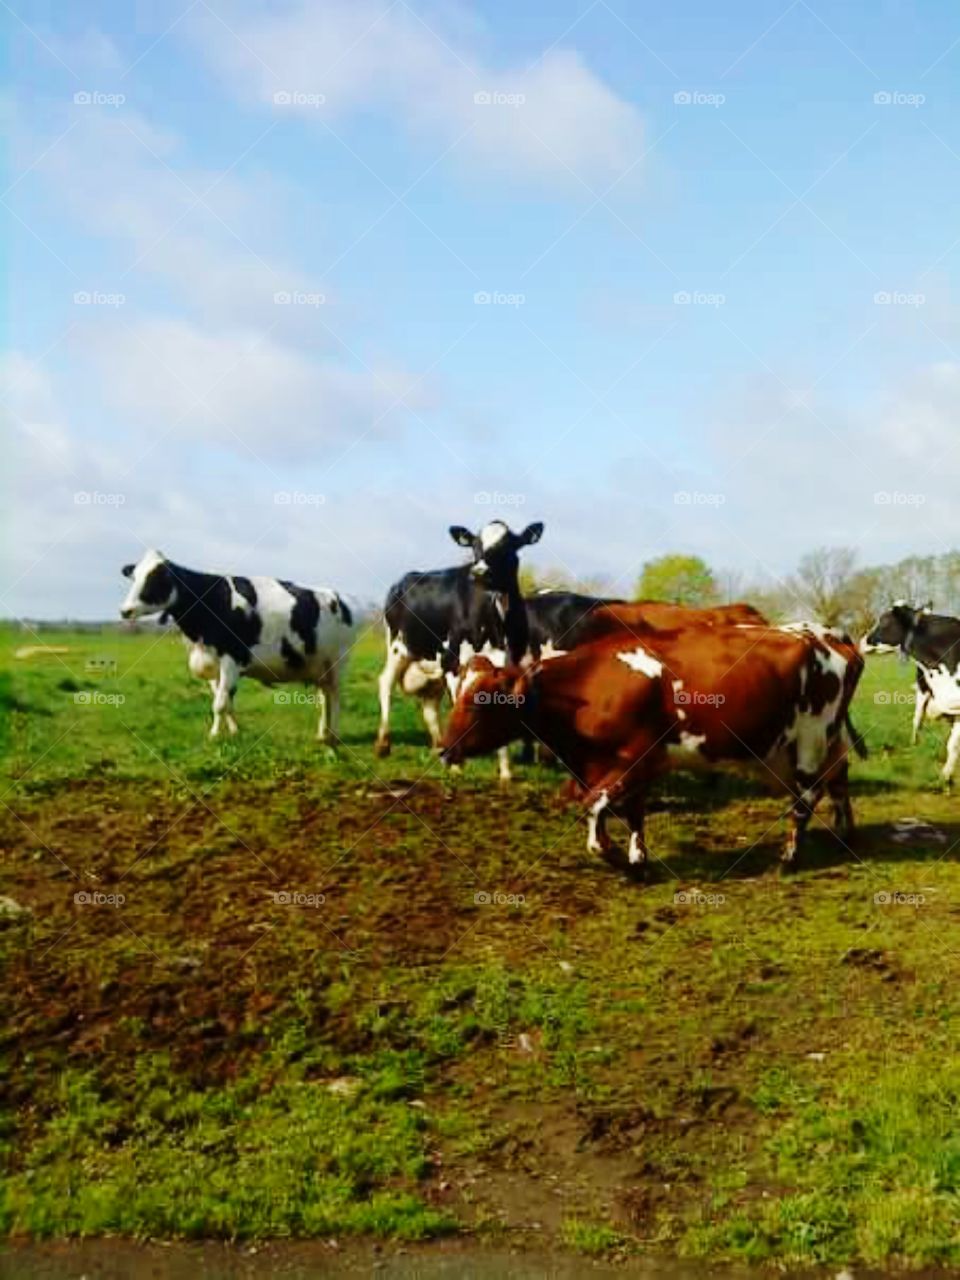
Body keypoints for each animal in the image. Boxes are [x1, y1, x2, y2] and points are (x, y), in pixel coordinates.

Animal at [119, 550, 357, 741]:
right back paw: (322, 734)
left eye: (156, 579)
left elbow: (219, 704)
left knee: (335, 696)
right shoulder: (213, 664)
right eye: (135, 577)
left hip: (338, 661)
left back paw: (334, 736)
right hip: (319, 665)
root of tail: (340, 598)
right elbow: (224, 700)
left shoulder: (231, 659)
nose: (125, 610)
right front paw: (234, 732)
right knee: (324, 698)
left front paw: (214, 735)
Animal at [374, 520, 543, 773]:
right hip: (399, 647)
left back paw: (438, 747)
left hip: (434, 662)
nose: (479, 572)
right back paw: (384, 744)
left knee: (429, 705)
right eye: (475, 545)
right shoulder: (455, 661)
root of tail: (407, 578)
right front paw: (457, 766)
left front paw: (506, 771)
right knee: (386, 683)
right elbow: (458, 703)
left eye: (509, 545)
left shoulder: (515, 661)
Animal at [441, 621, 863, 874]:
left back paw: (789, 857)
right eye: (456, 692)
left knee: (806, 797)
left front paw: (610, 852)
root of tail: (826, 634)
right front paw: (636, 857)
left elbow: (594, 804)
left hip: (810, 738)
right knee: (838, 778)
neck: (590, 684)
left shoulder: (635, 759)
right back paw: (845, 833)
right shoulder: (623, 767)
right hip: (813, 742)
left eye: (481, 700)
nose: (443, 749)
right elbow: (632, 812)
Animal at [862, 602, 960, 783]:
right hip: (922, 692)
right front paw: (945, 776)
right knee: (917, 719)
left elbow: (953, 744)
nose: (862, 641)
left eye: (884, 621)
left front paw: (946, 774)